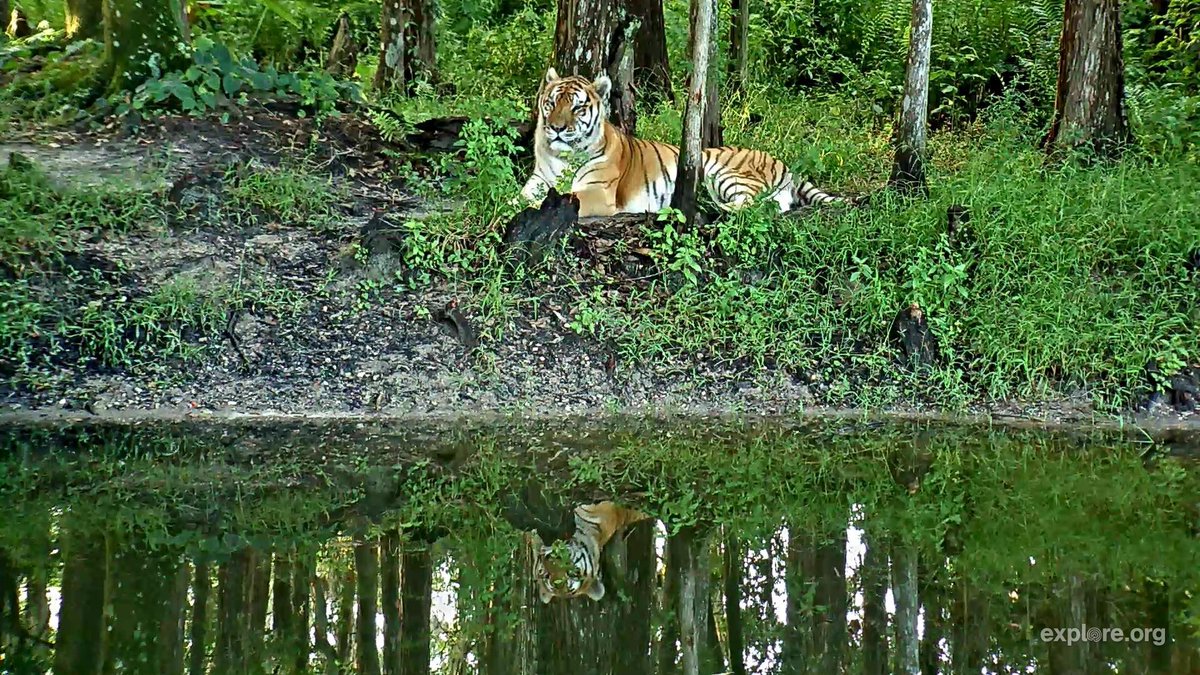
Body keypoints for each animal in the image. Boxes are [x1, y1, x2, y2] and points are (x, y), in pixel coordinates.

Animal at [516, 67, 845, 218]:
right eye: (552, 103)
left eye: (578, 107)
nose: (557, 128)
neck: (562, 157)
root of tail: (781, 161)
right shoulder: (537, 180)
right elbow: (519, 196)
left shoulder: (597, 192)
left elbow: (554, 198)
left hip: (722, 173)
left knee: (748, 205)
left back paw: (711, 207)